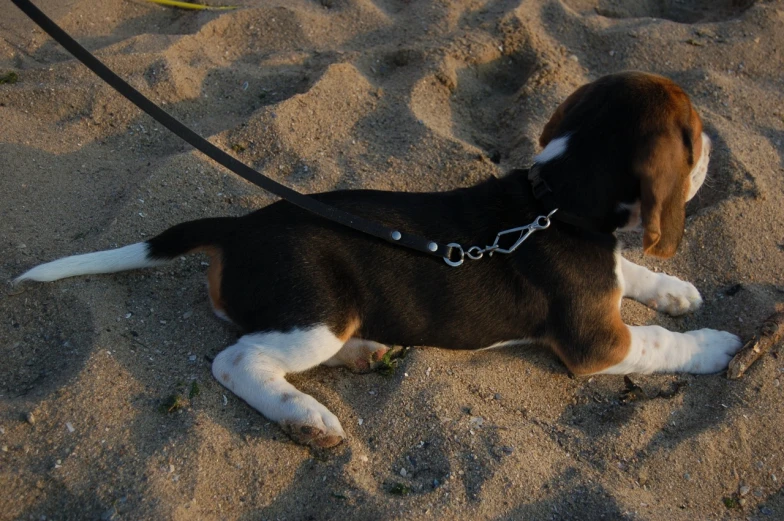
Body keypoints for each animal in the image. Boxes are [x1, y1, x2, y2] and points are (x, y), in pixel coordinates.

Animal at [15, 72, 744, 446]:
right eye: (695, 134)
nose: (719, 146)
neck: (554, 200)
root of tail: (239, 226)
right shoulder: (598, 343)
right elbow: (657, 341)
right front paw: (715, 344)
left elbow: (633, 274)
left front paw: (675, 289)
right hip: (317, 311)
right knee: (236, 360)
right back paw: (306, 416)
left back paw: (365, 354)